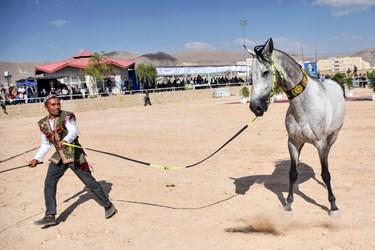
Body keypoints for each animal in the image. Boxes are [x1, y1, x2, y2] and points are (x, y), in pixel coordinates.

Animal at [247, 37, 346, 217]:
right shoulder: (293, 142)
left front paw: (333, 206)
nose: (255, 107)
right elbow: (293, 174)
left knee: (328, 157)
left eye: (265, 72)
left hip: (334, 136)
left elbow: (325, 174)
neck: (305, 106)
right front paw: (288, 206)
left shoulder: (321, 144)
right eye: (250, 75)